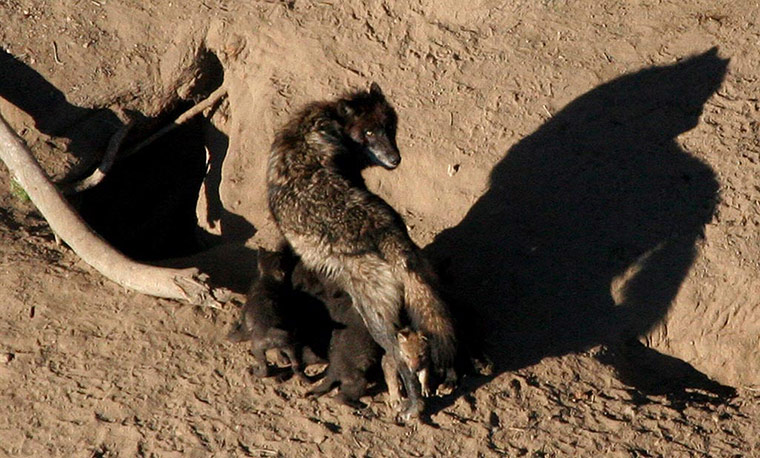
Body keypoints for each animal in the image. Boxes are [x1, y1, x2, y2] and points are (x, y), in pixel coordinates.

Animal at [267, 82, 457, 421]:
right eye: (369, 132)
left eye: (388, 129)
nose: (395, 158)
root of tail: (388, 232)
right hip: (420, 293)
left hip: (375, 318)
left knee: (401, 359)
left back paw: (413, 407)